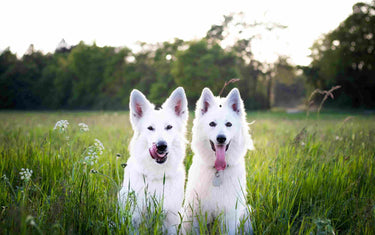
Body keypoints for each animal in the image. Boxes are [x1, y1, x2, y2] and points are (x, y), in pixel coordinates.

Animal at [119, 87, 189, 233]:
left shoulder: (171, 219)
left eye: (169, 127)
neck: (157, 175)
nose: (161, 146)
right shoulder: (135, 219)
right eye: (150, 128)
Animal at [184, 87, 254, 234]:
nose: (221, 138)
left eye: (228, 124)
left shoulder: (229, 215)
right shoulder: (195, 213)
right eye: (212, 124)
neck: (217, 171)